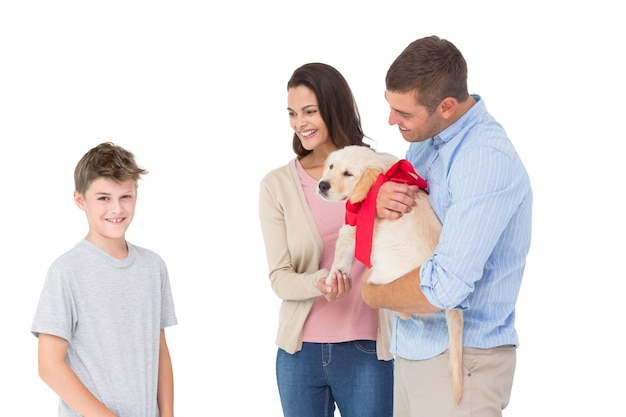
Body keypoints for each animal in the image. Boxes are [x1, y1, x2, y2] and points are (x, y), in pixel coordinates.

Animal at [316, 145, 464, 404]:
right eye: (331, 167)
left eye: (348, 174)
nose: (323, 185)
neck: (380, 175)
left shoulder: (352, 228)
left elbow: (339, 259)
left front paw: (331, 282)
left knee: (402, 310)